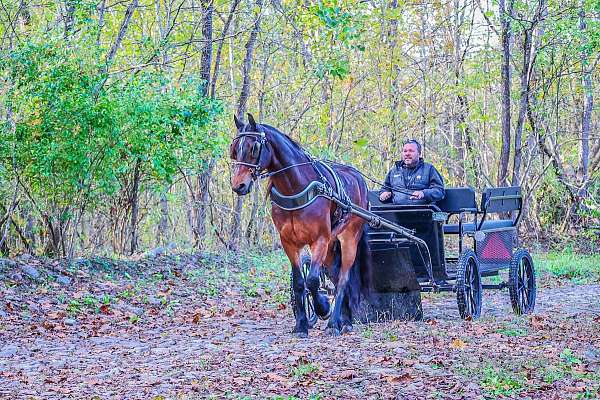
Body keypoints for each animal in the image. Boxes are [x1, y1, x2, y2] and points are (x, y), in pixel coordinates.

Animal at [229, 114, 370, 336]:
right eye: (235, 148)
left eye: (253, 147)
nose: (238, 185)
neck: (296, 187)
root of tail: (358, 178)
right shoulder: (288, 242)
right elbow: (299, 282)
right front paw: (301, 324)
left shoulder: (319, 239)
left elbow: (312, 280)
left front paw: (323, 306)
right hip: (331, 247)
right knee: (336, 276)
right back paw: (344, 320)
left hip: (348, 239)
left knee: (343, 279)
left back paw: (334, 323)